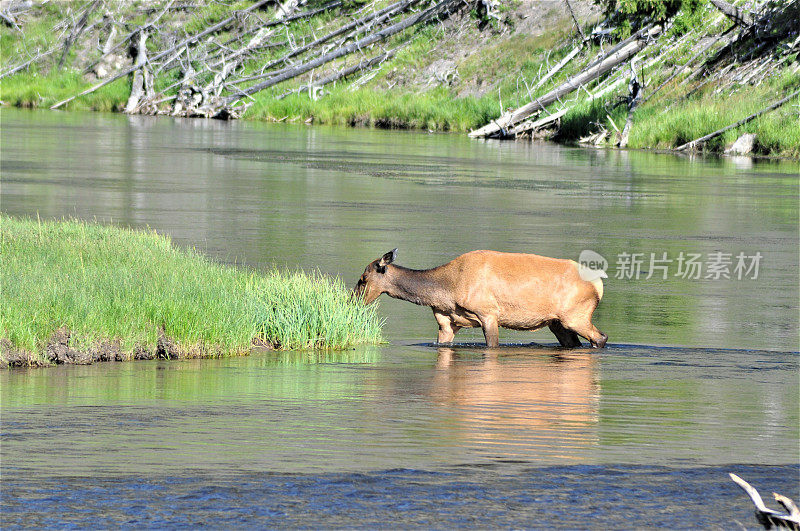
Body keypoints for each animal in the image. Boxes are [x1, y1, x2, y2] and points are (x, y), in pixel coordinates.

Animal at [354, 249, 608, 350]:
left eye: (363, 278)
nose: (351, 302)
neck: (446, 290)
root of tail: (599, 284)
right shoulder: (447, 323)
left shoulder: (488, 314)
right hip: (558, 323)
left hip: (575, 315)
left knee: (601, 338)